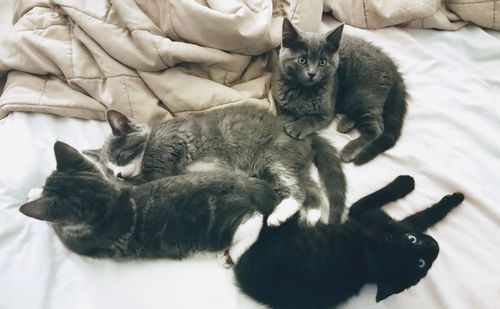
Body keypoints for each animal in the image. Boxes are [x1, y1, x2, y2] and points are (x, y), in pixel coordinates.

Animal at [21, 141, 280, 264]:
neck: (107, 201)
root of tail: (245, 183)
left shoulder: (77, 242)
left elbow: (53, 224)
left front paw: (35, 194)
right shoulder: (116, 181)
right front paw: (36, 190)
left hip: (219, 226)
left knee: (254, 220)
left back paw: (233, 253)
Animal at [85, 106, 344, 226]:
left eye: (120, 156)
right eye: (108, 170)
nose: (118, 175)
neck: (153, 137)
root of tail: (307, 135)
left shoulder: (168, 149)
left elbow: (147, 179)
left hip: (273, 157)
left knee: (297, 189)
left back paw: (280, 215)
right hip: (284, 163)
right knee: (311, 187)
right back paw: (311, 215)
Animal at [234, 174, 464, 306]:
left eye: (421, 263)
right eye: (412, 239)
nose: (435, 245)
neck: (370, 260)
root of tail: (240, 273)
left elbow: (423, 217)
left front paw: (452, 199)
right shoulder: (364, 213)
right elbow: (423, 216)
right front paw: (408, 183)